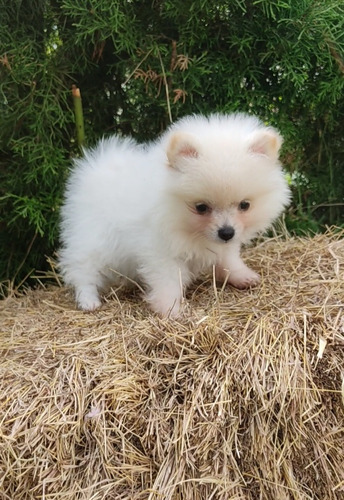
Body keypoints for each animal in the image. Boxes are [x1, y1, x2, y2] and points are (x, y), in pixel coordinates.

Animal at [59, 113, 290, 316]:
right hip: (94, 239)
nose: (226, 232)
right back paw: (88, 300)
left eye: (244, 205)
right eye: (201, 207)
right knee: (83, 268)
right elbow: (168, 282)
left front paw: (243, 276)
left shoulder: (224, 247)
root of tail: (98, 166)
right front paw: (171, 310)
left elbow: (229, 260)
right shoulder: (160, 251)